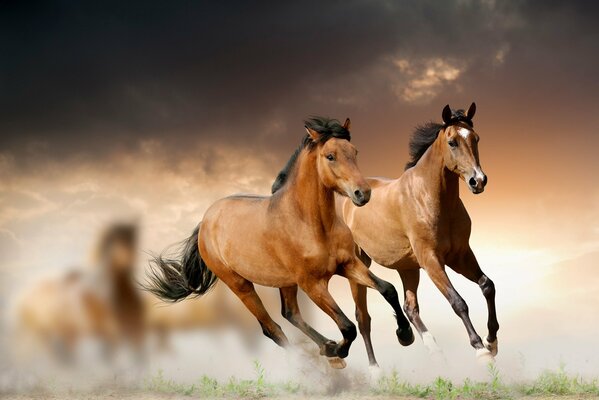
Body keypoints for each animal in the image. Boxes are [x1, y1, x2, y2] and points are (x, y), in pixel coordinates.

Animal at [145, 116, 412, 368]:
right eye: (330, 156)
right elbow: (347, 326)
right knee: (271, 328)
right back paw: (321, 359)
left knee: (290, 313)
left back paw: (327, 349)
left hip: (285, 282)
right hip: (240, 285)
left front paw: (405, 334)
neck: (311, 224)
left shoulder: (348, 264)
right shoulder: (312, 284)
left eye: (355, 151)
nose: (363, 193)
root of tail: (205, 221)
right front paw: (338, 350)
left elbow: (388, 289)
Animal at [344, 104, 500, 368]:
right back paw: (376, 370)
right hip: (359, 266)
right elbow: (458, 302)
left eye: (476, 138)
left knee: (410, 308)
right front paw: (480, 349)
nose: (478, 181)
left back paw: (430, 348)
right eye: (452, 142)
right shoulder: (431, 260)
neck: (429, 198)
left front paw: (492, 341)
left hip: (407, 267)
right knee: (363, 318)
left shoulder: (460, 255)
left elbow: (487, 286)